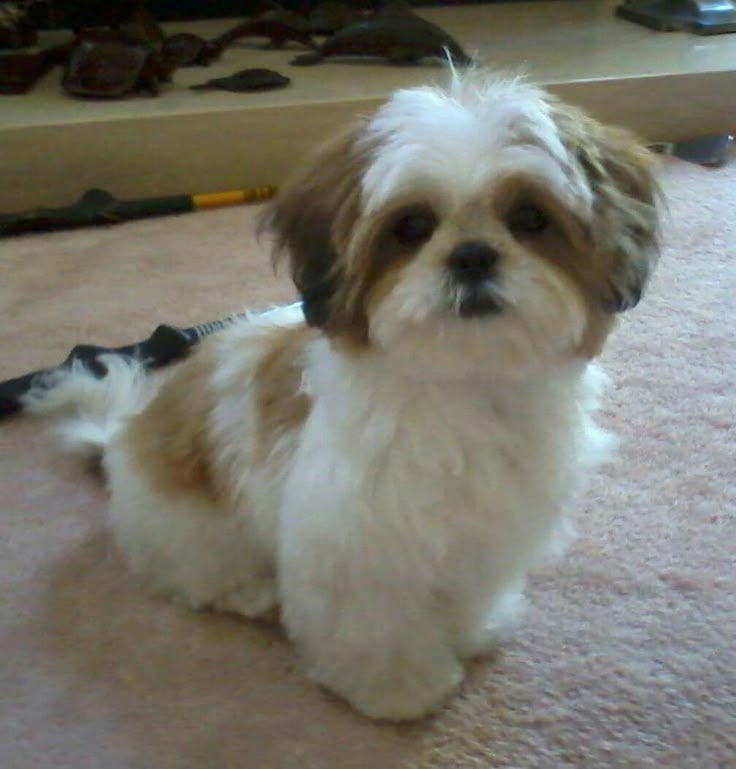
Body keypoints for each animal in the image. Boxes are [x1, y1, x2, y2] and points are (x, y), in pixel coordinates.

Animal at [27, 69, 660, 716]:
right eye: (412, 227)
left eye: (531, 219)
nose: (472, 256)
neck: (463, 381)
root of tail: (120, 444)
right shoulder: (356, 537)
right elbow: (374, 621)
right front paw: (398, 686)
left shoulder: (488, 528)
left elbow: (467, 584)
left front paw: (469, 630)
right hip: (190, 525)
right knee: (195, 572)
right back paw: (251, 592)